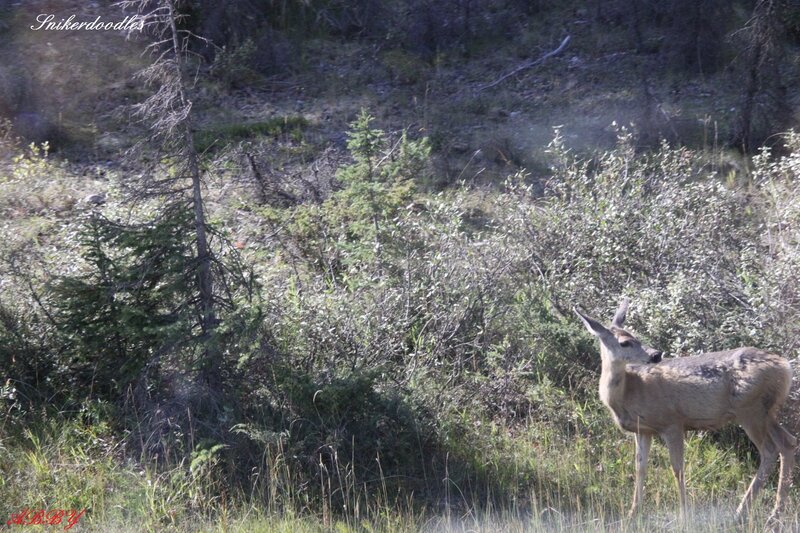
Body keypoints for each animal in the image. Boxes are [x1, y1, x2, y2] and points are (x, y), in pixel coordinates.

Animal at [573, 299, 796, 522]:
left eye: (635, 336)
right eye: (625, 342)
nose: (656, 354)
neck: (630, 391)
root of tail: (785, 366)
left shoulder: (672, 422)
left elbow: (677, 468)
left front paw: (684, 514)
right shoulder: (643, 430)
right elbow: (640, 468)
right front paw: (632, 513)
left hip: (750, 409)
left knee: (769, 450)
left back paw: (742, 511)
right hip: (766, 412)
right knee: (788, 442)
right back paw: (776, 512)